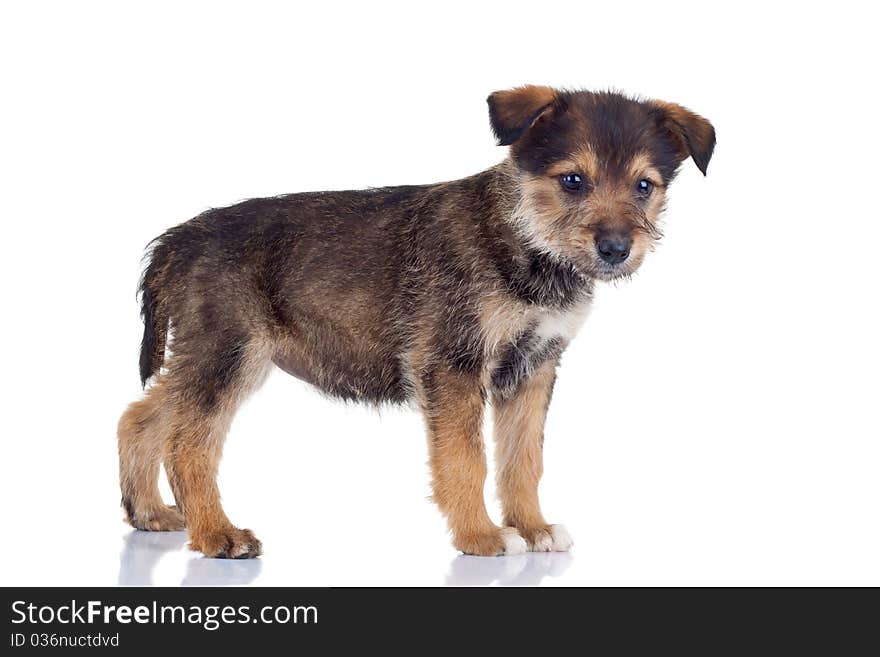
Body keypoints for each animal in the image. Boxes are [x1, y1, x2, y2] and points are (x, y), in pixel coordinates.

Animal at [118, 86, 716, 560]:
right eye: (572, 180)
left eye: (644, 186)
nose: (615, 250)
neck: (521, 237)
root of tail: (177, 239)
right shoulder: (453, 365)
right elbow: (466, 458)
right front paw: (482, 537)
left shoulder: (533, 367)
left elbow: (523, 458)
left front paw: (534, 528)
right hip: (229, 354)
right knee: (189, 445)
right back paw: (218, 535)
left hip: (213, 356)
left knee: (140, 417)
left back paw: (149, 512)